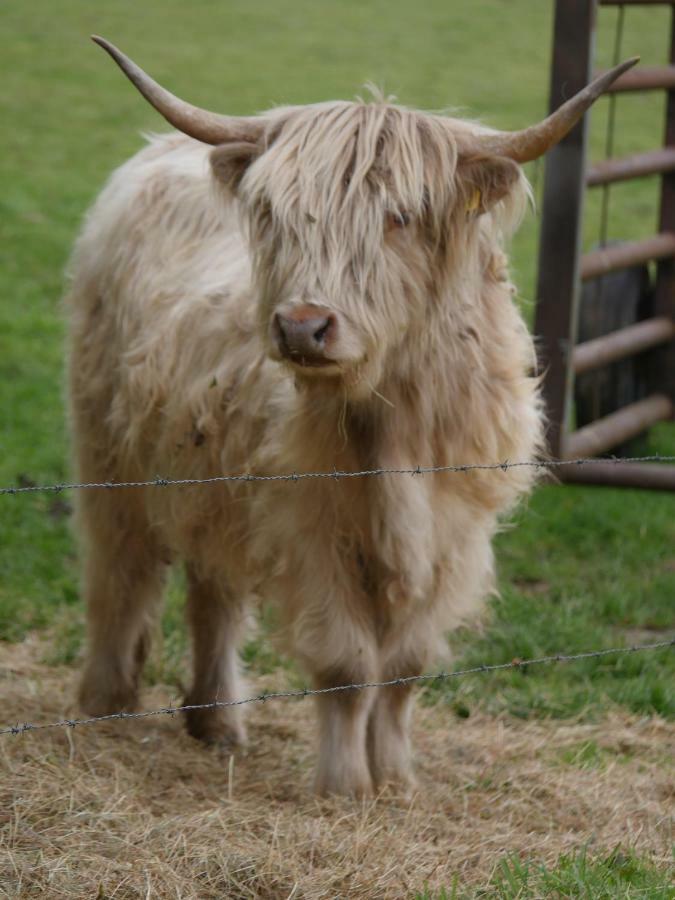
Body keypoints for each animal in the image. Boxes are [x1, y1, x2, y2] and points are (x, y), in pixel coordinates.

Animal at [70, 37, 640, 796]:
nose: (301, 327)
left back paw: (215, 720)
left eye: (399, 216)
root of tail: (153, 154)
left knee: (212, 592)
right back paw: (105, 704)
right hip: (108, 454)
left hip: (210, 475)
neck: (394, 427)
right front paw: (344, 785)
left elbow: (403, 667)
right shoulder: (309, 526)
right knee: (120, 575)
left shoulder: (454, 536)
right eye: (274, 215)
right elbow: (346, 663)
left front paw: (395, 778)